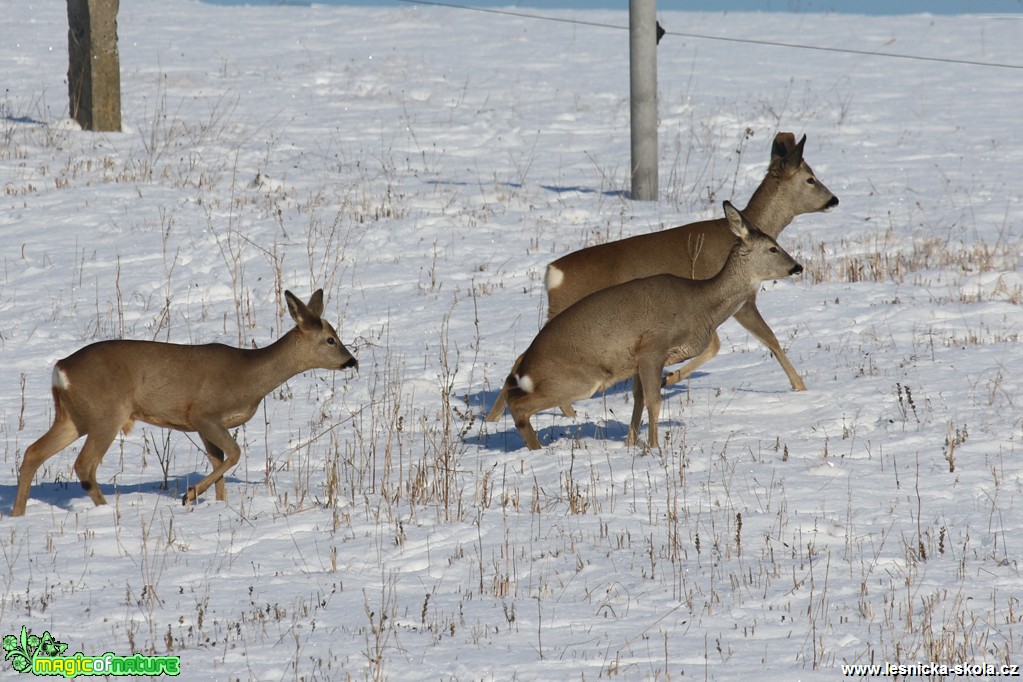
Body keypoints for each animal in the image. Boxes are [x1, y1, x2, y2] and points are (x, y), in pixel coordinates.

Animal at [9, 290, 356, 517]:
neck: (249, 378)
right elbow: (234, 454)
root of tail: (60, 369)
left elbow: (219, 461)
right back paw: (105, 511)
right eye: (330, 339)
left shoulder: (203, 425)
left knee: (32, 452)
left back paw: (17, 514)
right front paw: (188, 495)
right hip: (106, 413)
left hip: (73, 416)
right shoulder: (204, 413)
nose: (351, 360)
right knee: (83, 464)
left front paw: (217, 503)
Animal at [488, 131, 838, 421]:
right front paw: (801, 387)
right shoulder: (740, 302)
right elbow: (766, 340)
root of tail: (553, 272)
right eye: (810, 179)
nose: (833, 199)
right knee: (525, 357)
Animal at [499, 201, 802, 453]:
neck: (700, 305)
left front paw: (632, 443)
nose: (797, 267)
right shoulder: (653, 347)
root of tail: (527, 368)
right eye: (773, 248)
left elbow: (639, 400)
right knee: (519, 405)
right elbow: (655, 400)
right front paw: (654, 447)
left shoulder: (637, 362)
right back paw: (537, 450)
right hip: (579, 379)